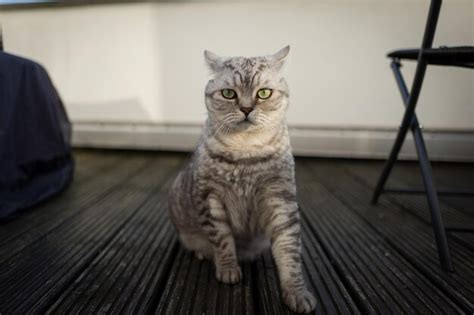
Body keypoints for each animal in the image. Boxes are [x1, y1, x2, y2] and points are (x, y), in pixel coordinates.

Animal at [168, 46, 316, 314]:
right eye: (229, 94)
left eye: (264, 93)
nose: (246, 109)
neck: (246, 149)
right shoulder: (211, 197)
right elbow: (223, 240)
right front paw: (228, 269)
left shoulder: (281, 197)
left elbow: (289, 251)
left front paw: (296, 292)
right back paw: (203, 252)